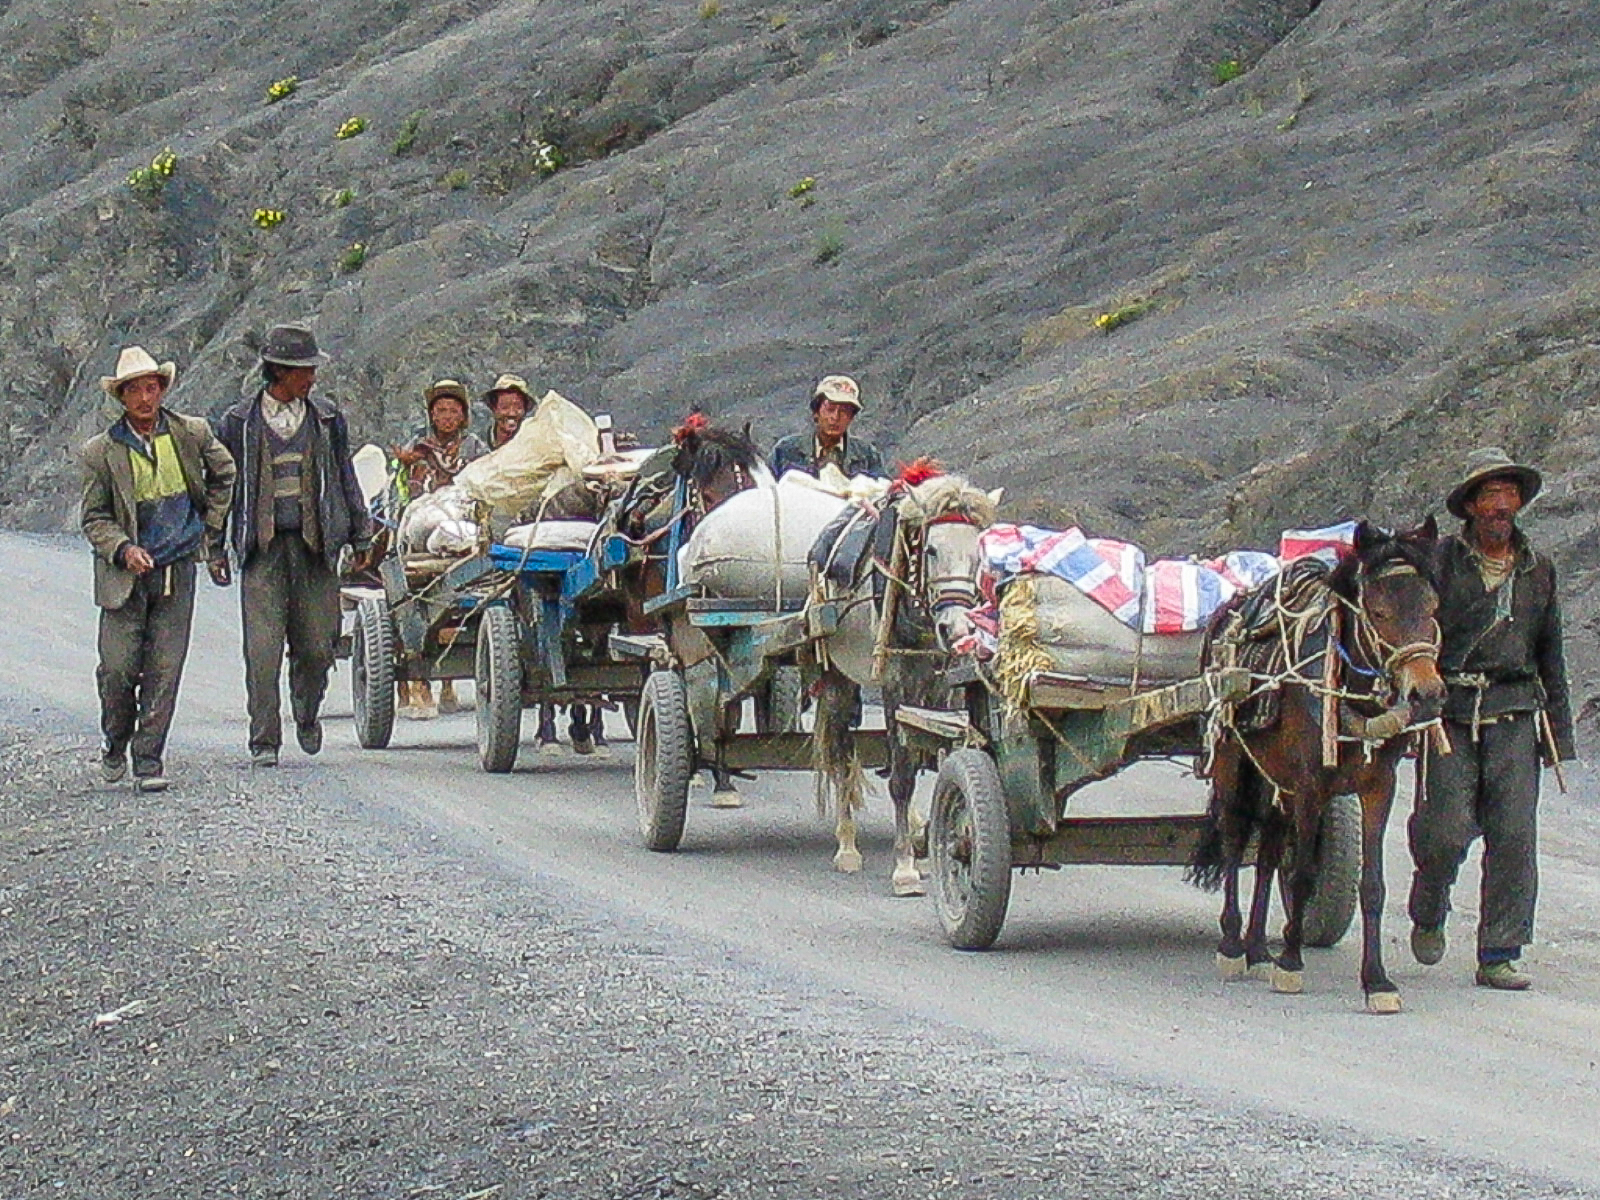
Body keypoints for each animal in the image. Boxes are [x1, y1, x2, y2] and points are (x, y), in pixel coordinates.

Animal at [1190, 518, 1452, 1017]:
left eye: (1432, 607)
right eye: (1378, 611)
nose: (1426, 694)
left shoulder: (1379, 786)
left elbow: (1372, 885)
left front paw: (1377, 981)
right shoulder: (1310, 785)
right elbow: (1303, 875)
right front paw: (1291, 964)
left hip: (1274, 779)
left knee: (1268, 850)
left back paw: (1258, 950)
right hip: (1233, 761)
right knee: (1234, 837)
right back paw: (1232, 945)